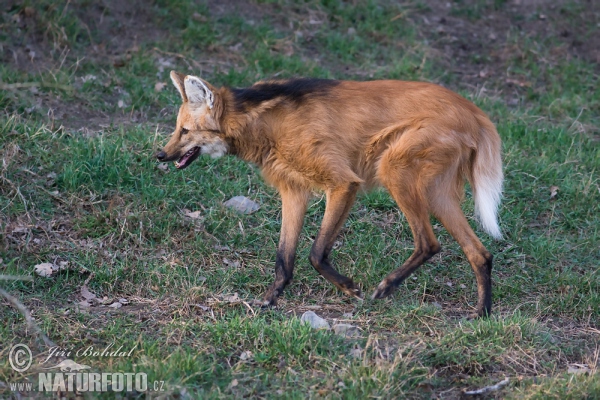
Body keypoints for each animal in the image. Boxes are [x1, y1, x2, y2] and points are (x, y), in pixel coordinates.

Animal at [158, 70, 502, 318]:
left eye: (185, 131)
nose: (160, 155)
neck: (264, 124)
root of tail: (474, 111)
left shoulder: (343, 183)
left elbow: (316, 252)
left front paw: (350, 288)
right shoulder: (294, 190)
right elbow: (284, 256)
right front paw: (269, 300)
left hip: (394, 169)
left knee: (429, 242)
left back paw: (386, 287)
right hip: (435, 192)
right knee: (479, 253)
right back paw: (481, 314)